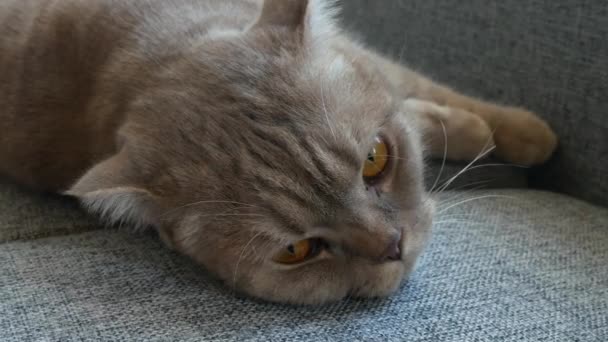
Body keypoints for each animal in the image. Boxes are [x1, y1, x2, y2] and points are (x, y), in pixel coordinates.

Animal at [0, 0, 556, 304]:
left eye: (375, 160)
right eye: (297, 250)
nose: (392, 246)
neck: (153, 57)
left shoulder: (367, 55)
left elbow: (418, 85)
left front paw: (520, 131)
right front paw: (473, 130)